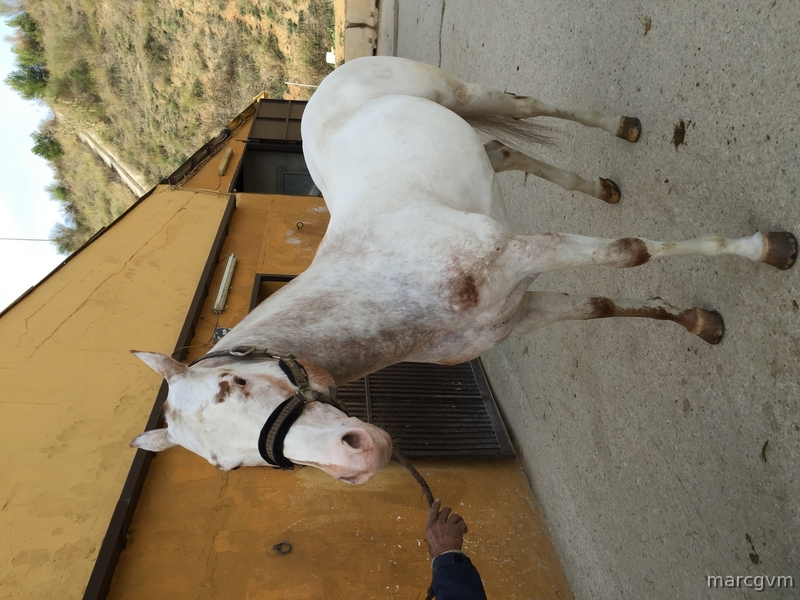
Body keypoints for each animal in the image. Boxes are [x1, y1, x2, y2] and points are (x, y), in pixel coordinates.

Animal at [130, 56, 796, 484]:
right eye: (231, 465)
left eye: (237, 384)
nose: (358, 459)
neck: (389, 287)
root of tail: (326, 79)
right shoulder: (520, 312)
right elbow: (600, 306)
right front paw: (700, 322)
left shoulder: (530, 252)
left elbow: (629, 252)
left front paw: (767, 249)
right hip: (477, 145)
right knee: (507, 152)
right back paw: (602, 188)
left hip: (462, 94)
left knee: (530, 105)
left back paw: (626, 130)